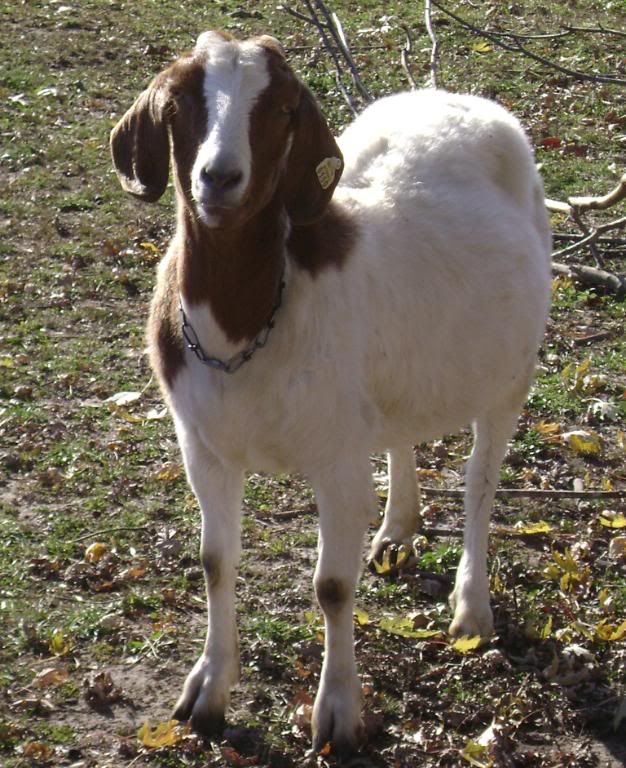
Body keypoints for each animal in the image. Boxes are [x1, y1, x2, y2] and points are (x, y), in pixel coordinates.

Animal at [110, 30, 551, 755]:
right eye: (178, 102)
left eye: (283, 108)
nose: (219, 178)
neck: (245, 326)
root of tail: (458, 100)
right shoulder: (203, 446)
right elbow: (215, 561)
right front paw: (208, 692)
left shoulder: (338, 457)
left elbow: (333, 587)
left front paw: (339, 713)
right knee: (402, 430)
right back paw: (397, 530)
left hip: (511, 372)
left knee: (480, 483)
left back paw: (471, 607)